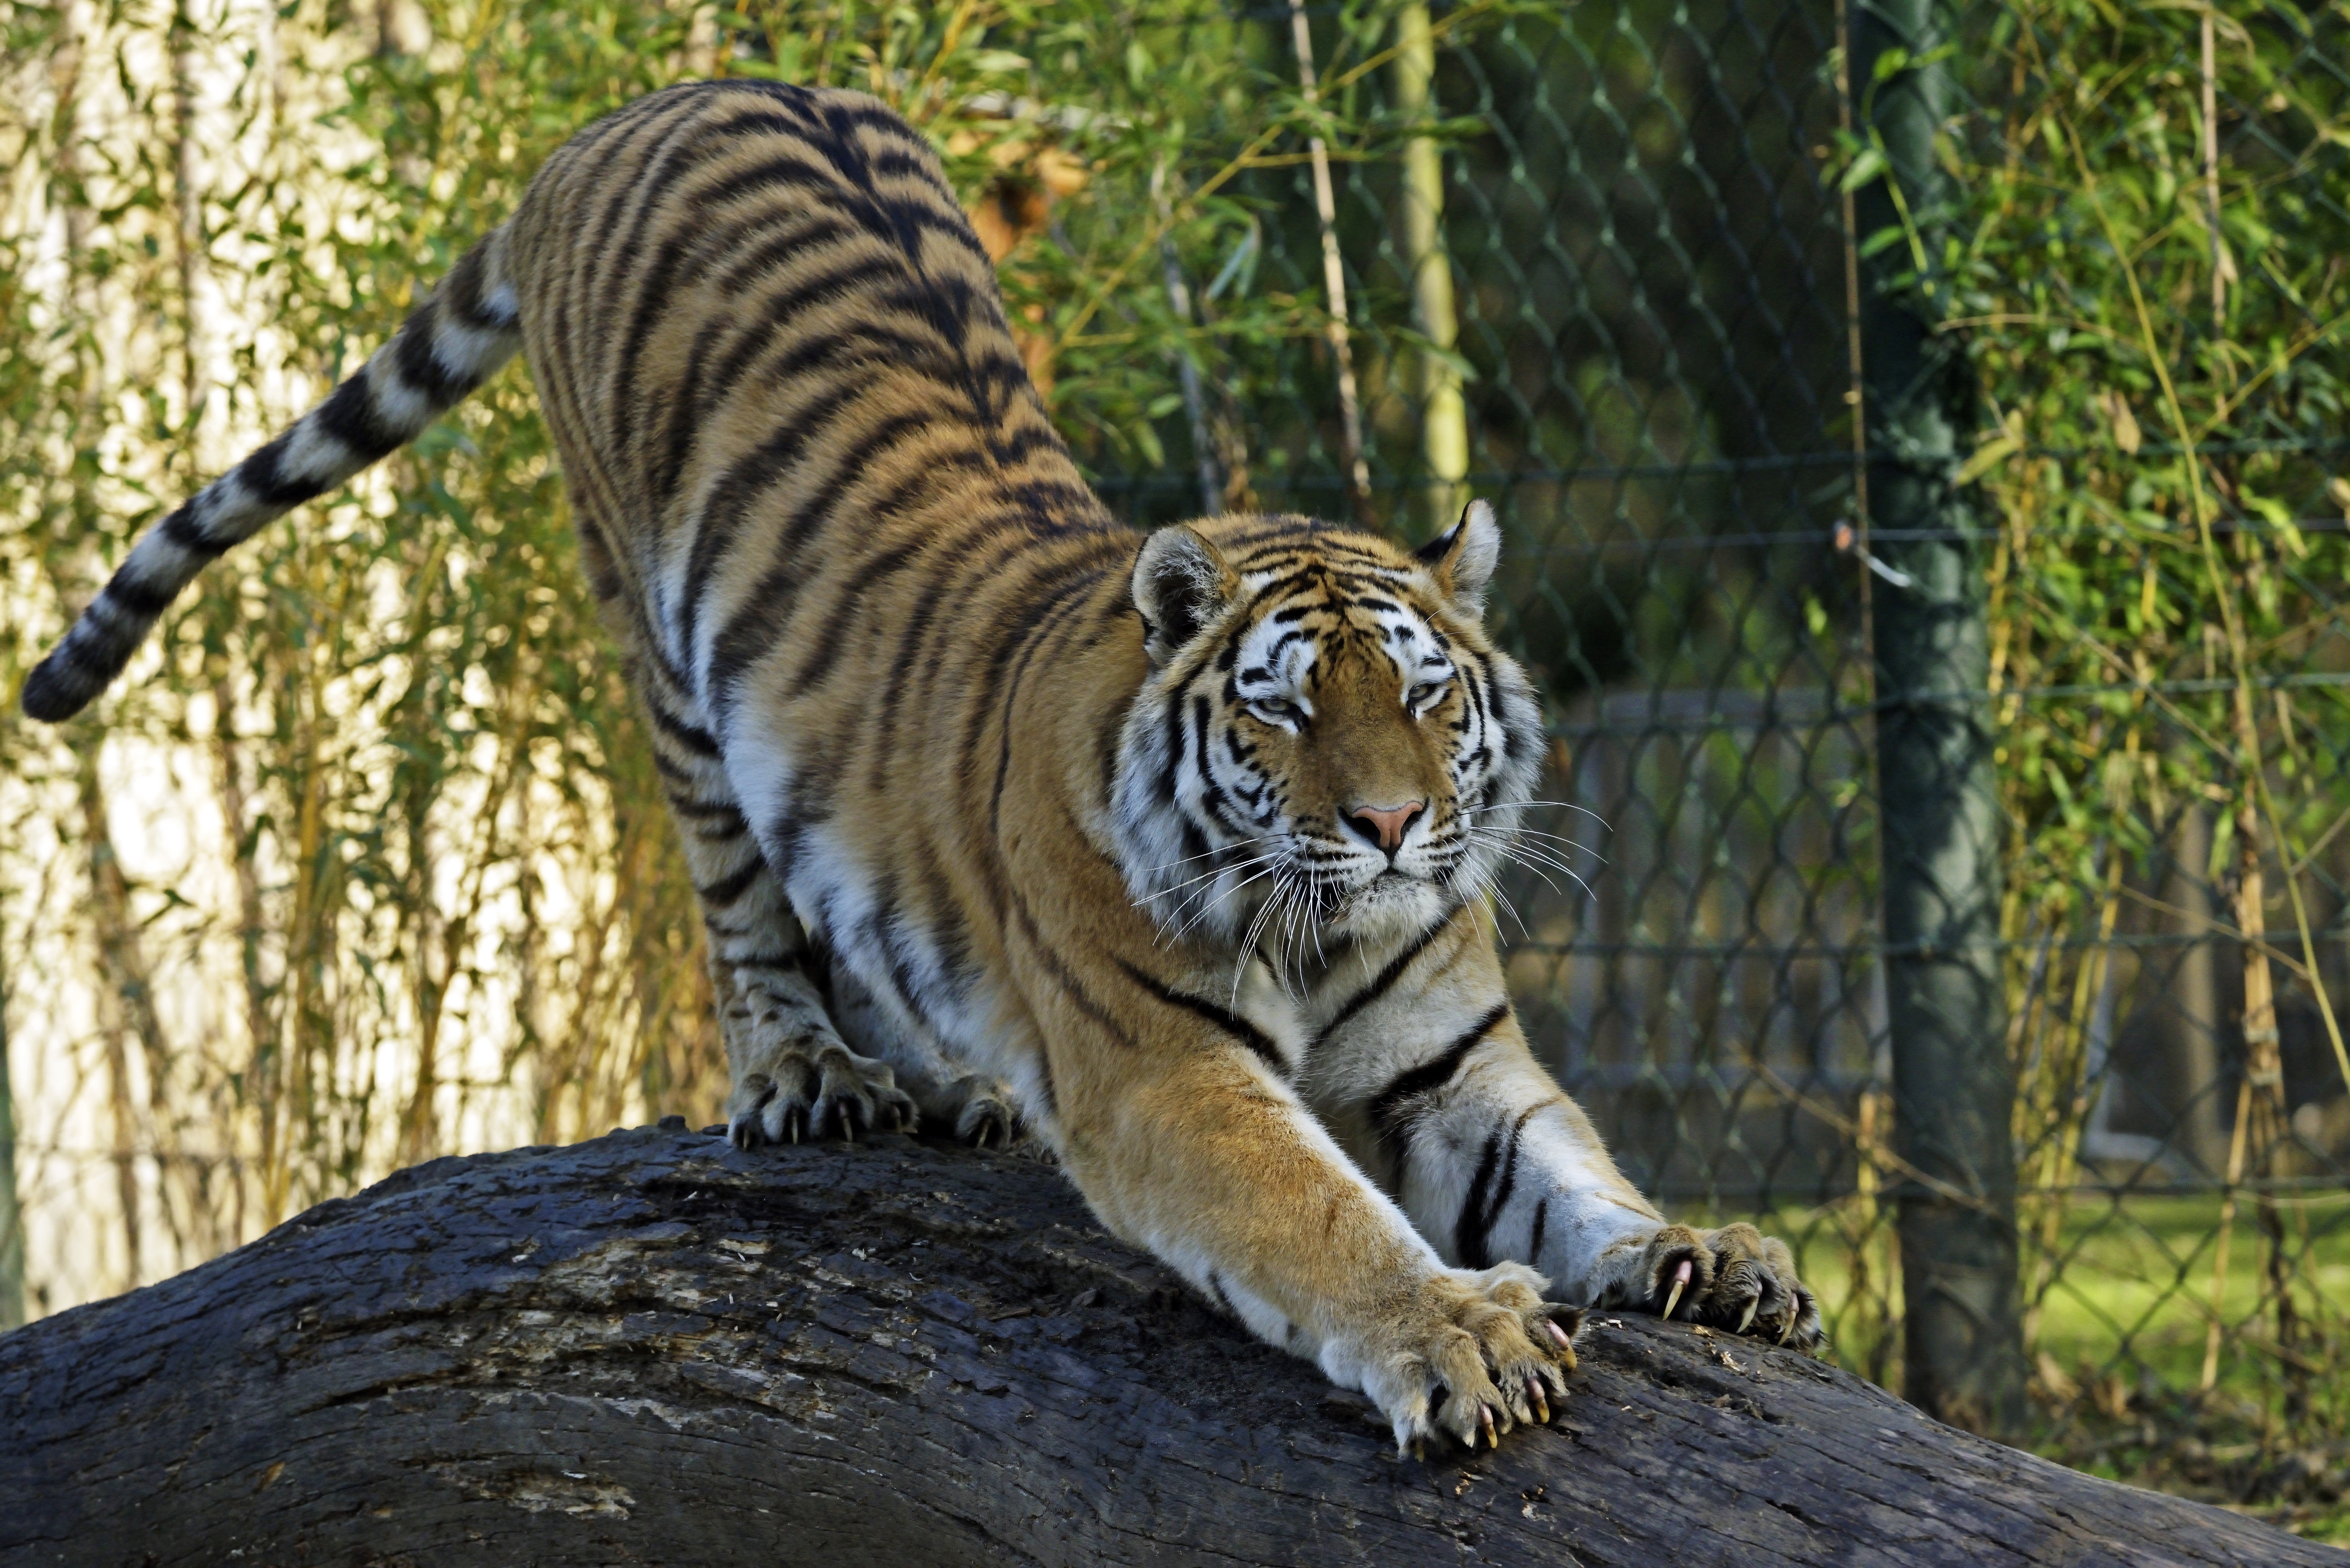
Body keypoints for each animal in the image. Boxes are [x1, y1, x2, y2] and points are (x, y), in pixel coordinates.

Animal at [21, 77, 1821, 1453]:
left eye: (1428, 695)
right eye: (1288, 709)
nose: (1390, 824)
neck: (1326, 925)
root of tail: (641, 106)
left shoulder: (1454, 1063)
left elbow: (1576, 1174)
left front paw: (1705, 1253)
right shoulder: (1167, 1074)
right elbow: (1317, 1218)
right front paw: (1455, 1331)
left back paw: (952, 1085)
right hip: (657, 646)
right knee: (745, 907)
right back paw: (809, 1075)